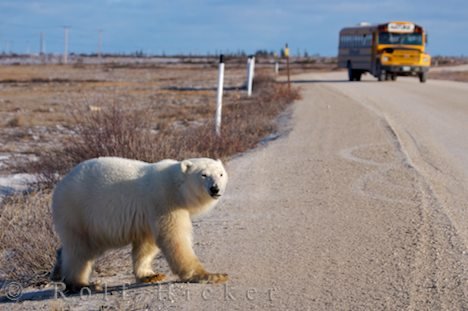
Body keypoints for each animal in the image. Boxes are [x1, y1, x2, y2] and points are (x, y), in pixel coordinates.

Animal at [49, 157, 229, 292]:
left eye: (220, 174)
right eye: (204, 175)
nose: (215, 189)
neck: (177, 187)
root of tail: (59, 185)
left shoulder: (150, 213)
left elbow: (147, 244)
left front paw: (150, 275)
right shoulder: (164, 200)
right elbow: (174, 238)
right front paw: (212, 275)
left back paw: (58, 270)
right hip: (77, 211)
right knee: (79, 249)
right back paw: (81, 284)